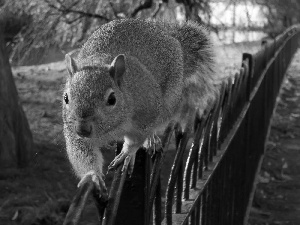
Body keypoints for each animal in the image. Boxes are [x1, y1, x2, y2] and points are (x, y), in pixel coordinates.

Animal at [62, 18, 218, 196]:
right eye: (66, 97)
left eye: (112, 99)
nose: (82, 129)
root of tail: (172, 39)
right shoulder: (74, 133)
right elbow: (81, 152)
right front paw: (92, 175)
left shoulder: (146, 113)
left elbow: (137, 138)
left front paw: (127, 153)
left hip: (168, 103)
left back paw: (151, 139)